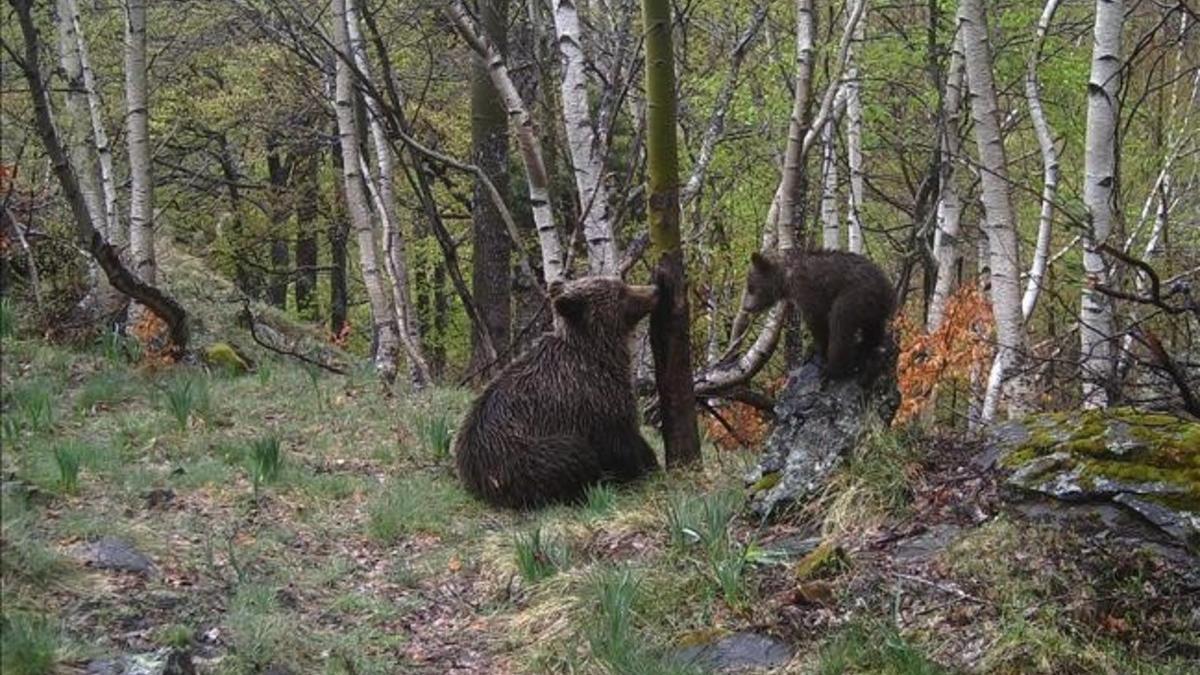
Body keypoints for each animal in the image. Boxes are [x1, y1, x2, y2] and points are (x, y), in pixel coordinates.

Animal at [453, 273, 662, 504]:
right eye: (621, 292)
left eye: (622, 283)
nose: (655, 290)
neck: (600, 353)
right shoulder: (594, 399)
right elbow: (621, 442)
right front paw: (642, 468)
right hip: (521, 453)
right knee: (573, 455)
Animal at [744, 248, 897, 374]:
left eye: (751, 287)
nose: (747, 307)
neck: (786, 279)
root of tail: (886, 287)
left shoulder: (808, 289)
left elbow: (817, 319)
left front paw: (820, 351)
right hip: (872, 306)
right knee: (873, 327)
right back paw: (868, 345)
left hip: (855, 294)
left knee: (840, 323)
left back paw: (833, 369)